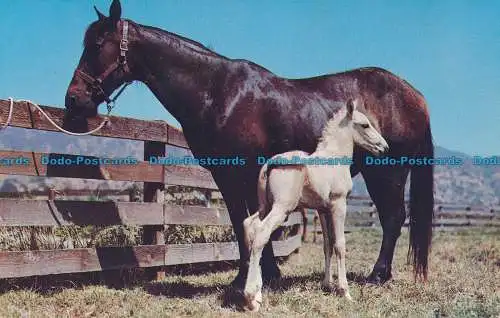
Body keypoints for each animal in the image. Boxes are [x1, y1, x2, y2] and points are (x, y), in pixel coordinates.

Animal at [63, 0, 434, 286]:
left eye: (98, 45)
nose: (74, 100)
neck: (218, 91)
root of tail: (414, 95)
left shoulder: (243, 170)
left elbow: (253, 223)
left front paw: (257, 277)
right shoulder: (226, 176)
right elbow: (242, 222)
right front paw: (256, 275)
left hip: (386, 171)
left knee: (392, 218)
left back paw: (378, 275)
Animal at [242, 98, 390, 312]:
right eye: (365, 125)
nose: (384, 147)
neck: (335, 158)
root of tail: (269, 164)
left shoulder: (322, 209)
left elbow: (327, 244)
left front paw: (327, 284)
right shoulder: (339, 204)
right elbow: (339, 244)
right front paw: (345, 292)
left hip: (265, 206)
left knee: (249, 225)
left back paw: (257, 294)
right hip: (281, 208)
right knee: (261, 232)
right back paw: (251, 298)